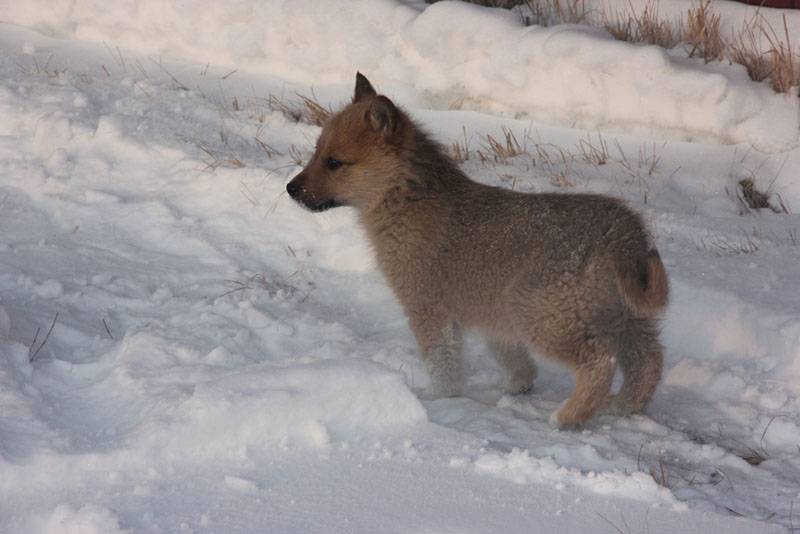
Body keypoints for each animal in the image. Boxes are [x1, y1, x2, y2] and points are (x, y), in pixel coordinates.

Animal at [288, 72, 668, 432]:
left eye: (334, 162)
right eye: (317, 152)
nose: (291, 189)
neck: (405, 196)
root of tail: (622, 233)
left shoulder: (427, 306)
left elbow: (441, 360)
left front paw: (439, 397)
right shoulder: (491, 312)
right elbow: (509, 356)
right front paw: (517, 386)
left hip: (545, 316)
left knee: (600, 361)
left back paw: (569, 417)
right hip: (625, 316)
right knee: (647, 361)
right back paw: (622, 406)